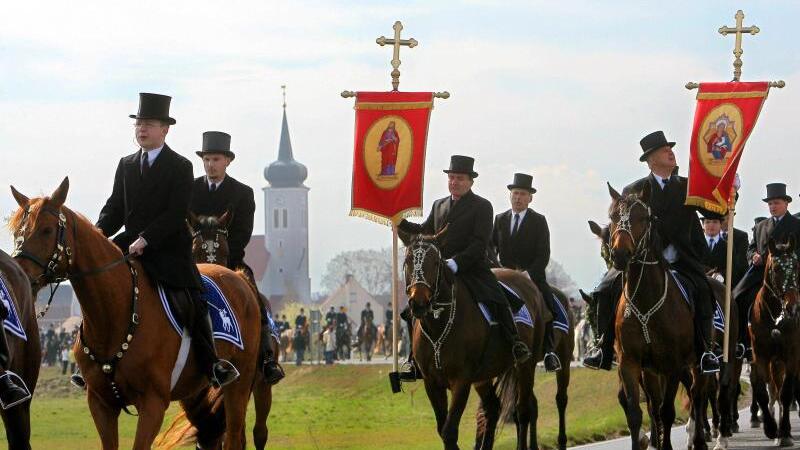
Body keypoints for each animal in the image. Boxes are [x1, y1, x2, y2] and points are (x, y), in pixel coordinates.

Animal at [9, 178, 260, 450]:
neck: (113, 315)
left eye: (46, 230)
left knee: (234, 435)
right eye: (17, 233)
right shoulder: (101, 404)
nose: (19, 275)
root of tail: (238, 277)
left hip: (240, 383)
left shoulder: (153, 404)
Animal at [400, 230, 536, 450]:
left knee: (523, 412)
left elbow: (449, 431)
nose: (418, 303)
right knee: (493, 408)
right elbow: (443, 430)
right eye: (408, 261)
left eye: (436, 262)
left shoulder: (461, 381)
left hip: (525, 367)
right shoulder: (432, 383)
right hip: (483, 378)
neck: (440, 323)